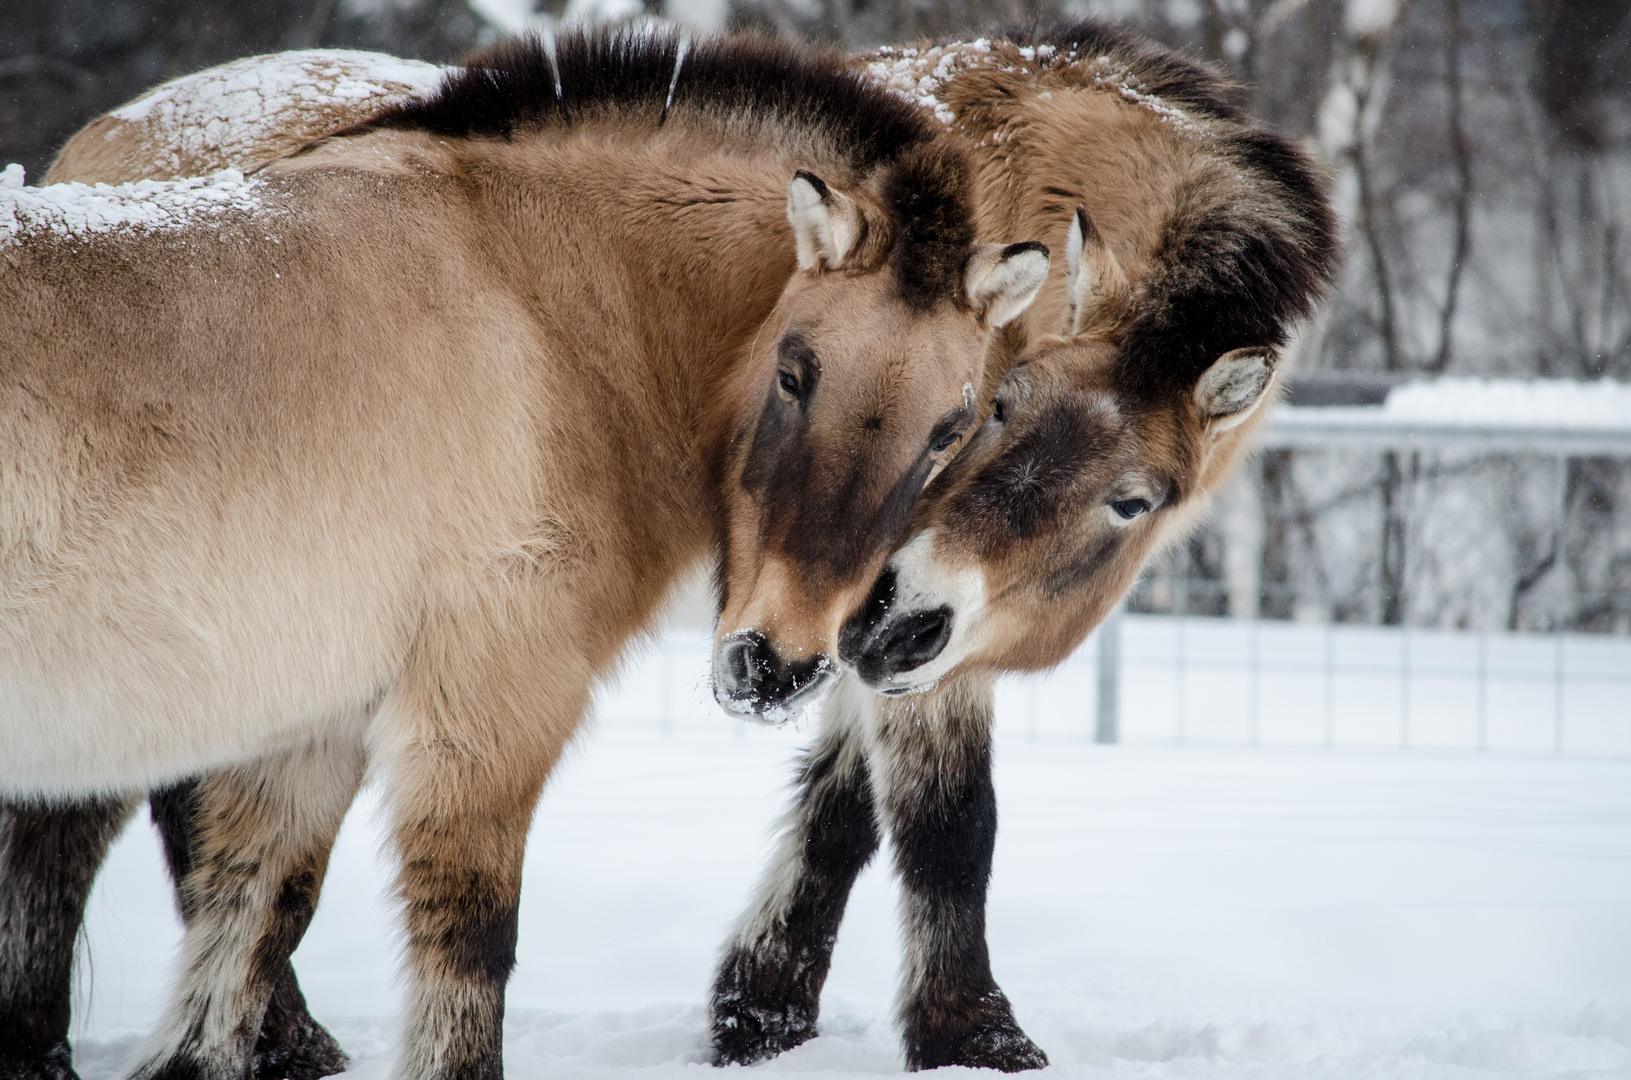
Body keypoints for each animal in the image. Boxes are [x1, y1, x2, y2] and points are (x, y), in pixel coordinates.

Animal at [0, 29, 1043, 1080]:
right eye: (795, 372)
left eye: (949, 429)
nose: (776, 668)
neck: (543, 310)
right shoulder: (487, 717)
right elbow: (470, 950)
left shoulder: (309, 738)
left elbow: (244, 941)